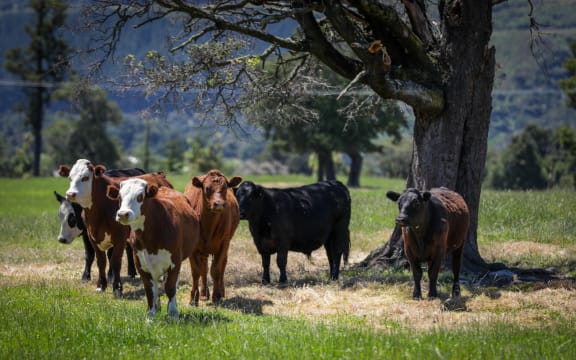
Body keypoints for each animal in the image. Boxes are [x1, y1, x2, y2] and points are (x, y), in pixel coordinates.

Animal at [107, 179, 201, 320]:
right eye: (119, 197)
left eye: (140, 196)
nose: (123, 214)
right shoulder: (140, 264)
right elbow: (150, 290)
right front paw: (150, 315)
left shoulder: (175, 262)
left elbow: (170, 287)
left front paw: (173, 314)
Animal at [184, 169, 243, 304]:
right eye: (207, 188)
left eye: (225, 188)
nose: (219, 204)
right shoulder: (193, 247)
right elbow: (196, 271)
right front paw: (193, 297)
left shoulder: (223, 244)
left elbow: (216, 270)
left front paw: (217, 295)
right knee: (204, 268)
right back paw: (203, 294)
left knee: (222, 265)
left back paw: (221, 291)